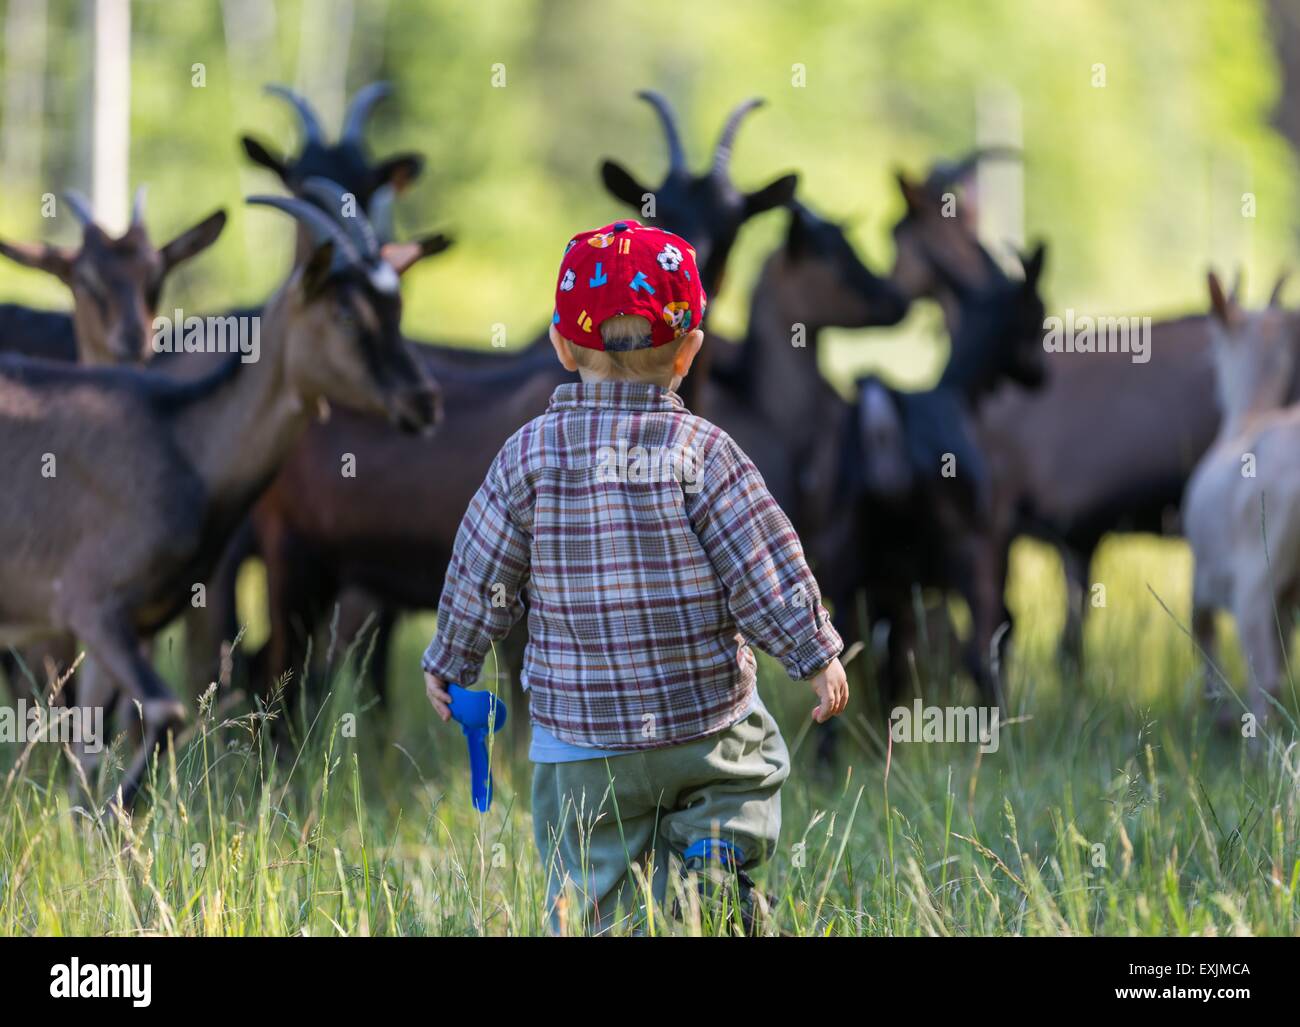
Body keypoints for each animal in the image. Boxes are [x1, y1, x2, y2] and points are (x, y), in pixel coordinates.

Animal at [0, 186, 442, 806]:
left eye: (397, 308)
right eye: (347, 313)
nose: (424, 401)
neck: (184, 438)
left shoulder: (123, 627)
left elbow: (88, 754)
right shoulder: (91, 603)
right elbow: (164, 713)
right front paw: (119, 813)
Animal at [1184, 271, 1299, 731]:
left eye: (1213, 348)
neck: (1248, 416)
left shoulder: (1205, 577)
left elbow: (1202, 636)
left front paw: (1219, 716)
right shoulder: (1289, 598)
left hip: (1254, 580)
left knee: (1264, 677)